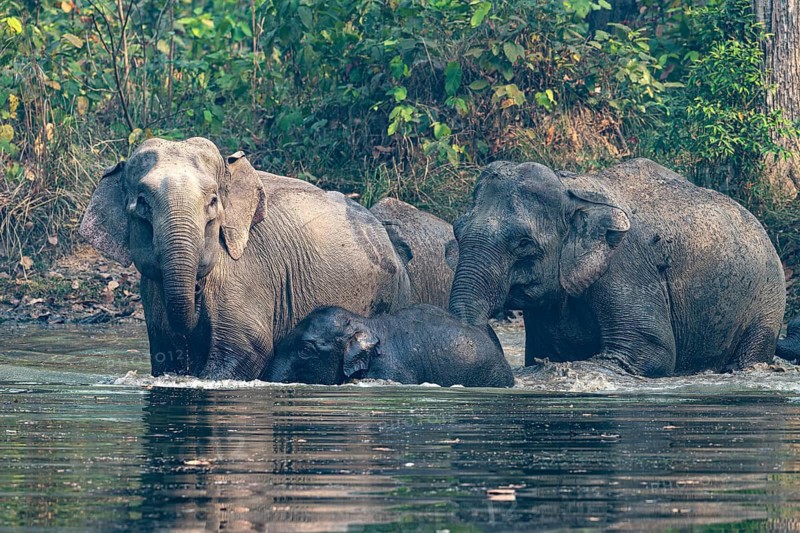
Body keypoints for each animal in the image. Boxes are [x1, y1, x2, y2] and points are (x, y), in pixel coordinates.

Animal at [80, 137, 412, 380]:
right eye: (142, 204)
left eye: (213, 201)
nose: (196, 290)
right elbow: (166, 355)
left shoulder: (249, 273)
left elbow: (248, 349)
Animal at [449, 158, 786, 377]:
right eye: (457, 230)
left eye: (523, 243)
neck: (571, 188)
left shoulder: (625, 264)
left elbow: (650, 350)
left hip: (767, 298)